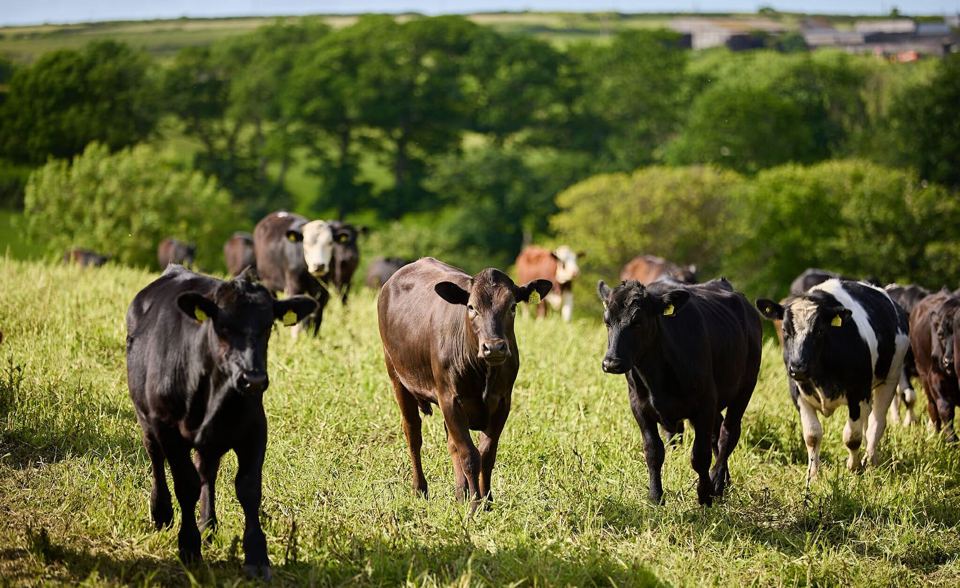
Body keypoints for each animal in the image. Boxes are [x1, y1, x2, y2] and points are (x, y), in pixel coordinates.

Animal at [125, 266, 316, 578]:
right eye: (223, 326)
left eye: (268, 326)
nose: (253, 379)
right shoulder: (167, 428)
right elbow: (185, 484)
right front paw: (189, 547)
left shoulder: (255, 429)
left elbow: (249, 488)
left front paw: (256, 556)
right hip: (146, 419)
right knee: (156, 458)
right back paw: (162, 513)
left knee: (207, 471)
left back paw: (208, 524)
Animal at [378, 257, 552, 512]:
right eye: (471, 307)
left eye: (512, 306)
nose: (494, 347)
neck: (483, 372)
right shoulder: (450, 398)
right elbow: (470, 455)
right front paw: (475, 505)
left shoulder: (503, 402)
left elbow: (486, 454)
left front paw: (486, 500)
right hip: (397, 376)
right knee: (413, 433)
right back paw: (420, 489)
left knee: (451, 443)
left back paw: (461, 493)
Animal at [598, 278, 761, 506]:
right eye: (607, 321)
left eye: (637, 321)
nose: (611, 363)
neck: (655, 378)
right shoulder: (639, 406)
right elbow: (653, 451)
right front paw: (655, 496)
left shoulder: (704, 405)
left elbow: (700, 456)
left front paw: (704, 495)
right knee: (717, 432)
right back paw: (724, 482)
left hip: (745, 388)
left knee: (727, 434)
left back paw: (717, 482)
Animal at [757, 279, 909, 484]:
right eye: (785, 330)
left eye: (820, 330)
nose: (798, 368)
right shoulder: (798, 395)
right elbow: (812, 435)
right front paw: (812, 475)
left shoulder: (857, 393)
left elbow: (852, 437)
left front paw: (854, 467)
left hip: (890, 378)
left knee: (876, 424)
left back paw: (870, 462)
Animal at [909, 289, 960, 440]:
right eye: (940, 335)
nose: (948, 361)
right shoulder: (935, 377)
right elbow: (945, 409)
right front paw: (952, 440)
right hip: (923, 376)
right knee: (932, 408)